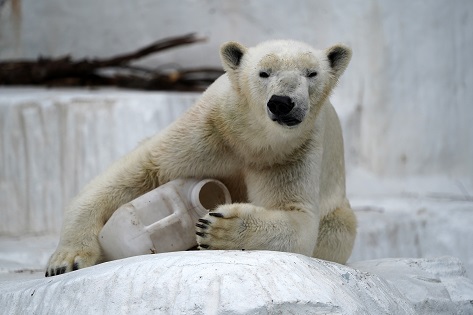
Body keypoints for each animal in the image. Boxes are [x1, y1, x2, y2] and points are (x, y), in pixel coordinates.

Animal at [45, 39, 354, 276]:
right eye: (263, 73)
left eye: (311, 73)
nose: (282, 102)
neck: (251, 138)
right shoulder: (207, 132)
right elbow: (139, 171)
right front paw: (66, 261)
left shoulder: (291, 153)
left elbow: (297, 217)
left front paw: (217, 226)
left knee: (339, 229)